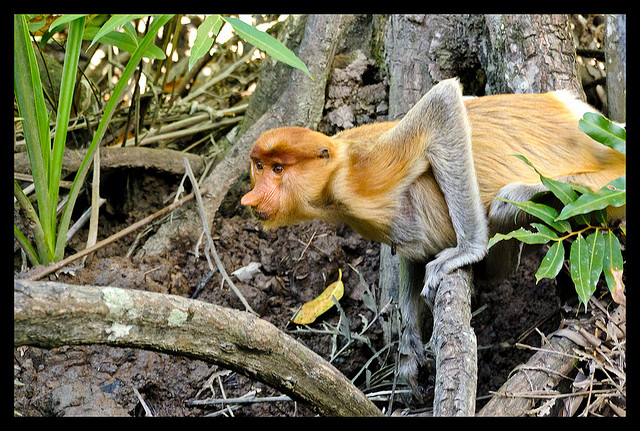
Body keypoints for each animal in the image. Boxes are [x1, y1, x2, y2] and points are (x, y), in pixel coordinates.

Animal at [240, 79, 624, 396]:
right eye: (258, 166)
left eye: (278, 169)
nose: (250, 199)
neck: (334, 171)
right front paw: (408, 348)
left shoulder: (364, 174)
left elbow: (444, 103)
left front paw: (467, 251)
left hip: (597, 190)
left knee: (505, 202)